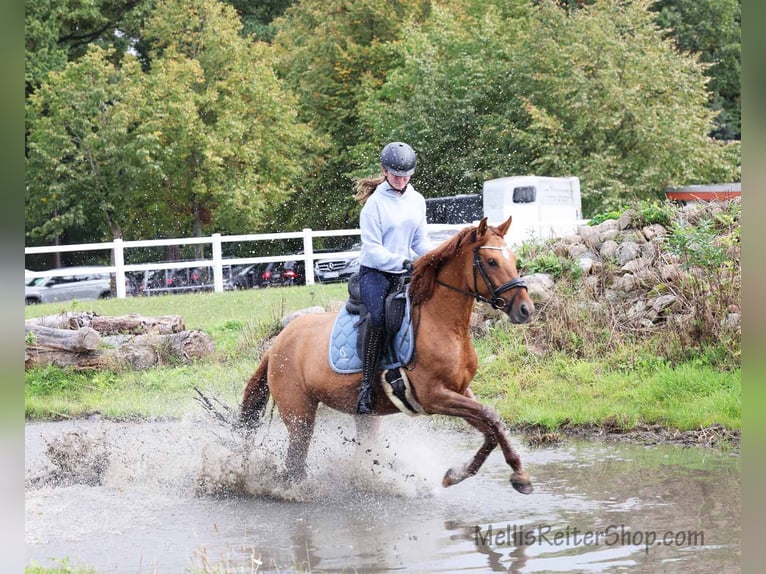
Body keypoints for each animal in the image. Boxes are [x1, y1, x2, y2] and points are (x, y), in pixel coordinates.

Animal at [239, 216, 535, 494]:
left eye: (512, 259)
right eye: (491, 261)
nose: (526, 309)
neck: (443, 324)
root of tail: (276, 346)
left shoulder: (459, 391)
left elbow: (491, 426)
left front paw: (472, 474)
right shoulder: (433, 396)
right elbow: (491, 416)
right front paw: (504, 474)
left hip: (362, 414)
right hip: (299, 414)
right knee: (295, 463)